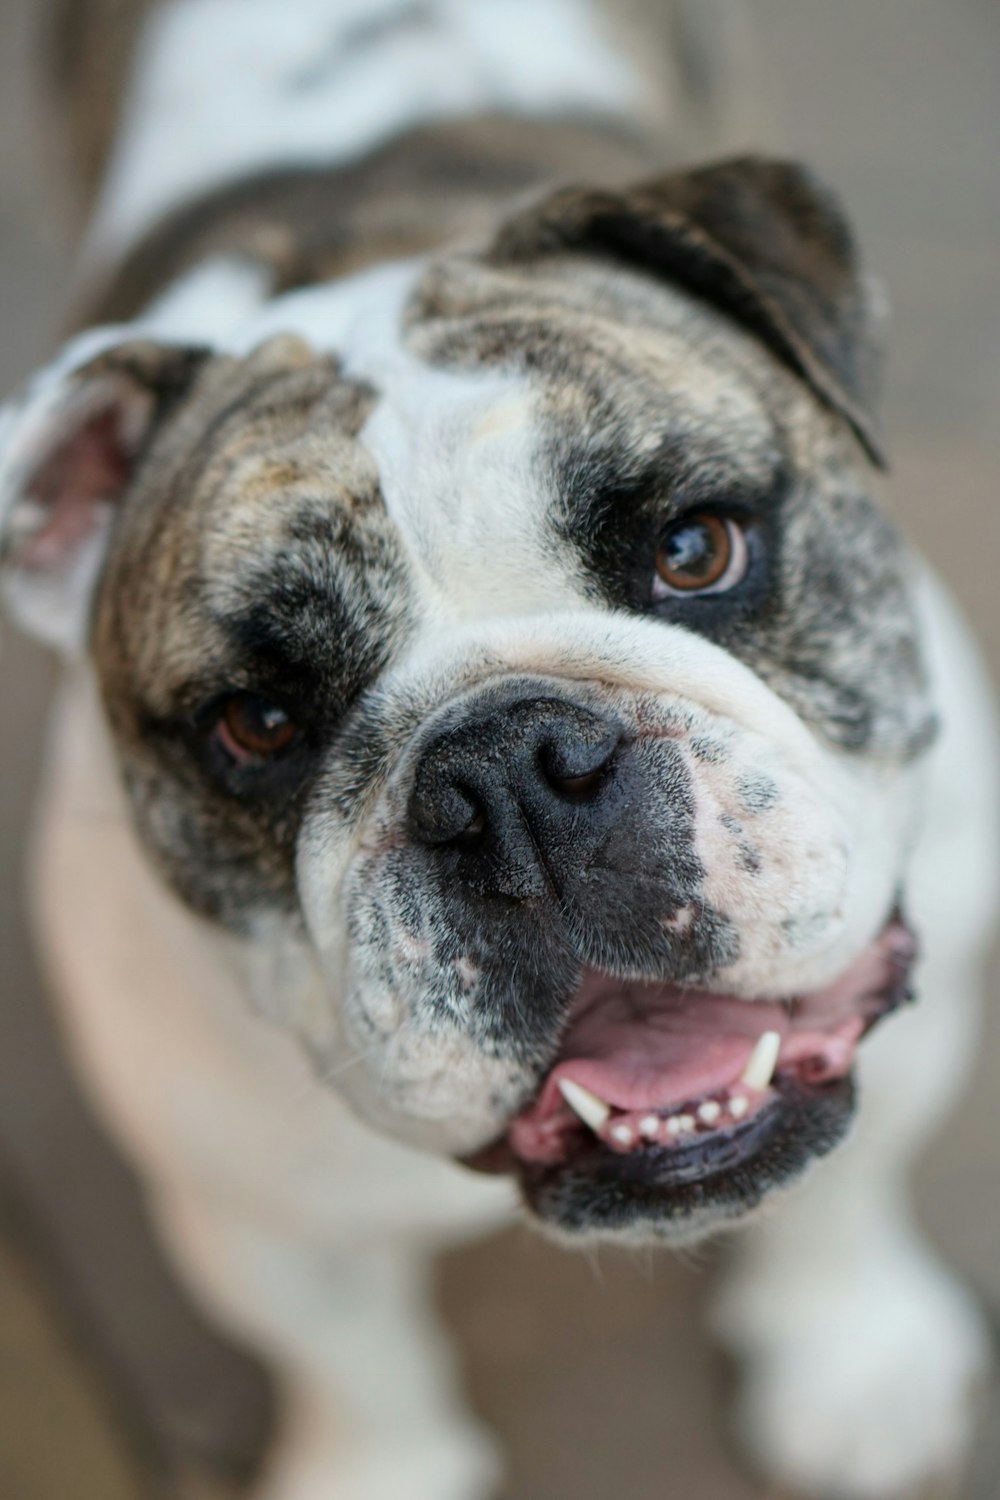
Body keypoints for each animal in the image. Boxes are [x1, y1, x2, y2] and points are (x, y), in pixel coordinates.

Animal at [0, 2, 995, 1500]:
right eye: (257, 723)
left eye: (695, 546)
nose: (511, 771)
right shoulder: (258, 1219)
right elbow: (355, 1366)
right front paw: (375, 1472)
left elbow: (850, 1191)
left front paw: (849, 1355)